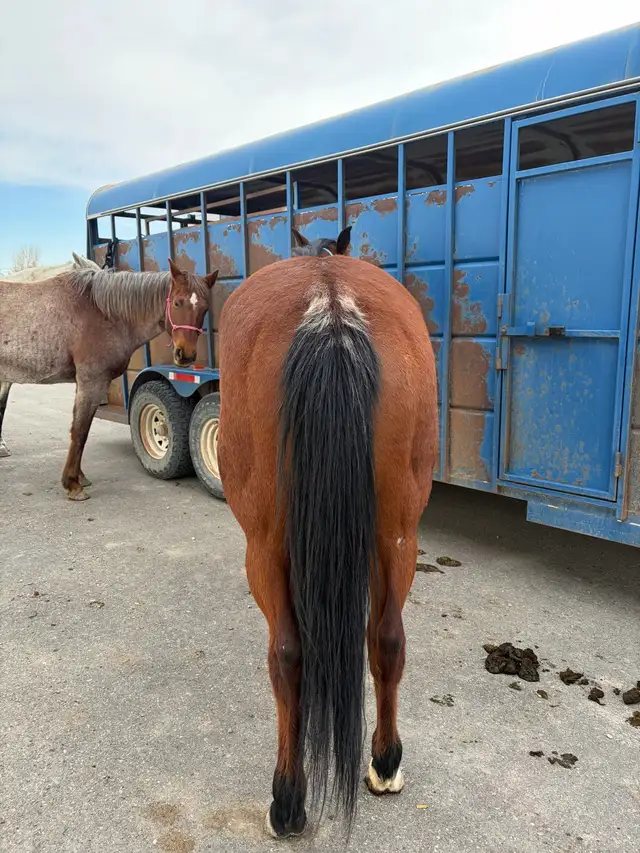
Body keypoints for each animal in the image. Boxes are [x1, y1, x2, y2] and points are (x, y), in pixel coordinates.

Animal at [0, 258, 217, 499]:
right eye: (178, 303)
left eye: (204, 308)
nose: (185, 355)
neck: (102, 314)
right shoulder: (91, 382)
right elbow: (80, 431)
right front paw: (72, 484)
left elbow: (81, 430)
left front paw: (79, 477)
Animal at [217, 226, 438, 838]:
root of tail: (332, 305)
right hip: (398, 534)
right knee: (387, 638)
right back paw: (385, 763)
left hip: (264, 546)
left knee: (287, 655)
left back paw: (288, 800)